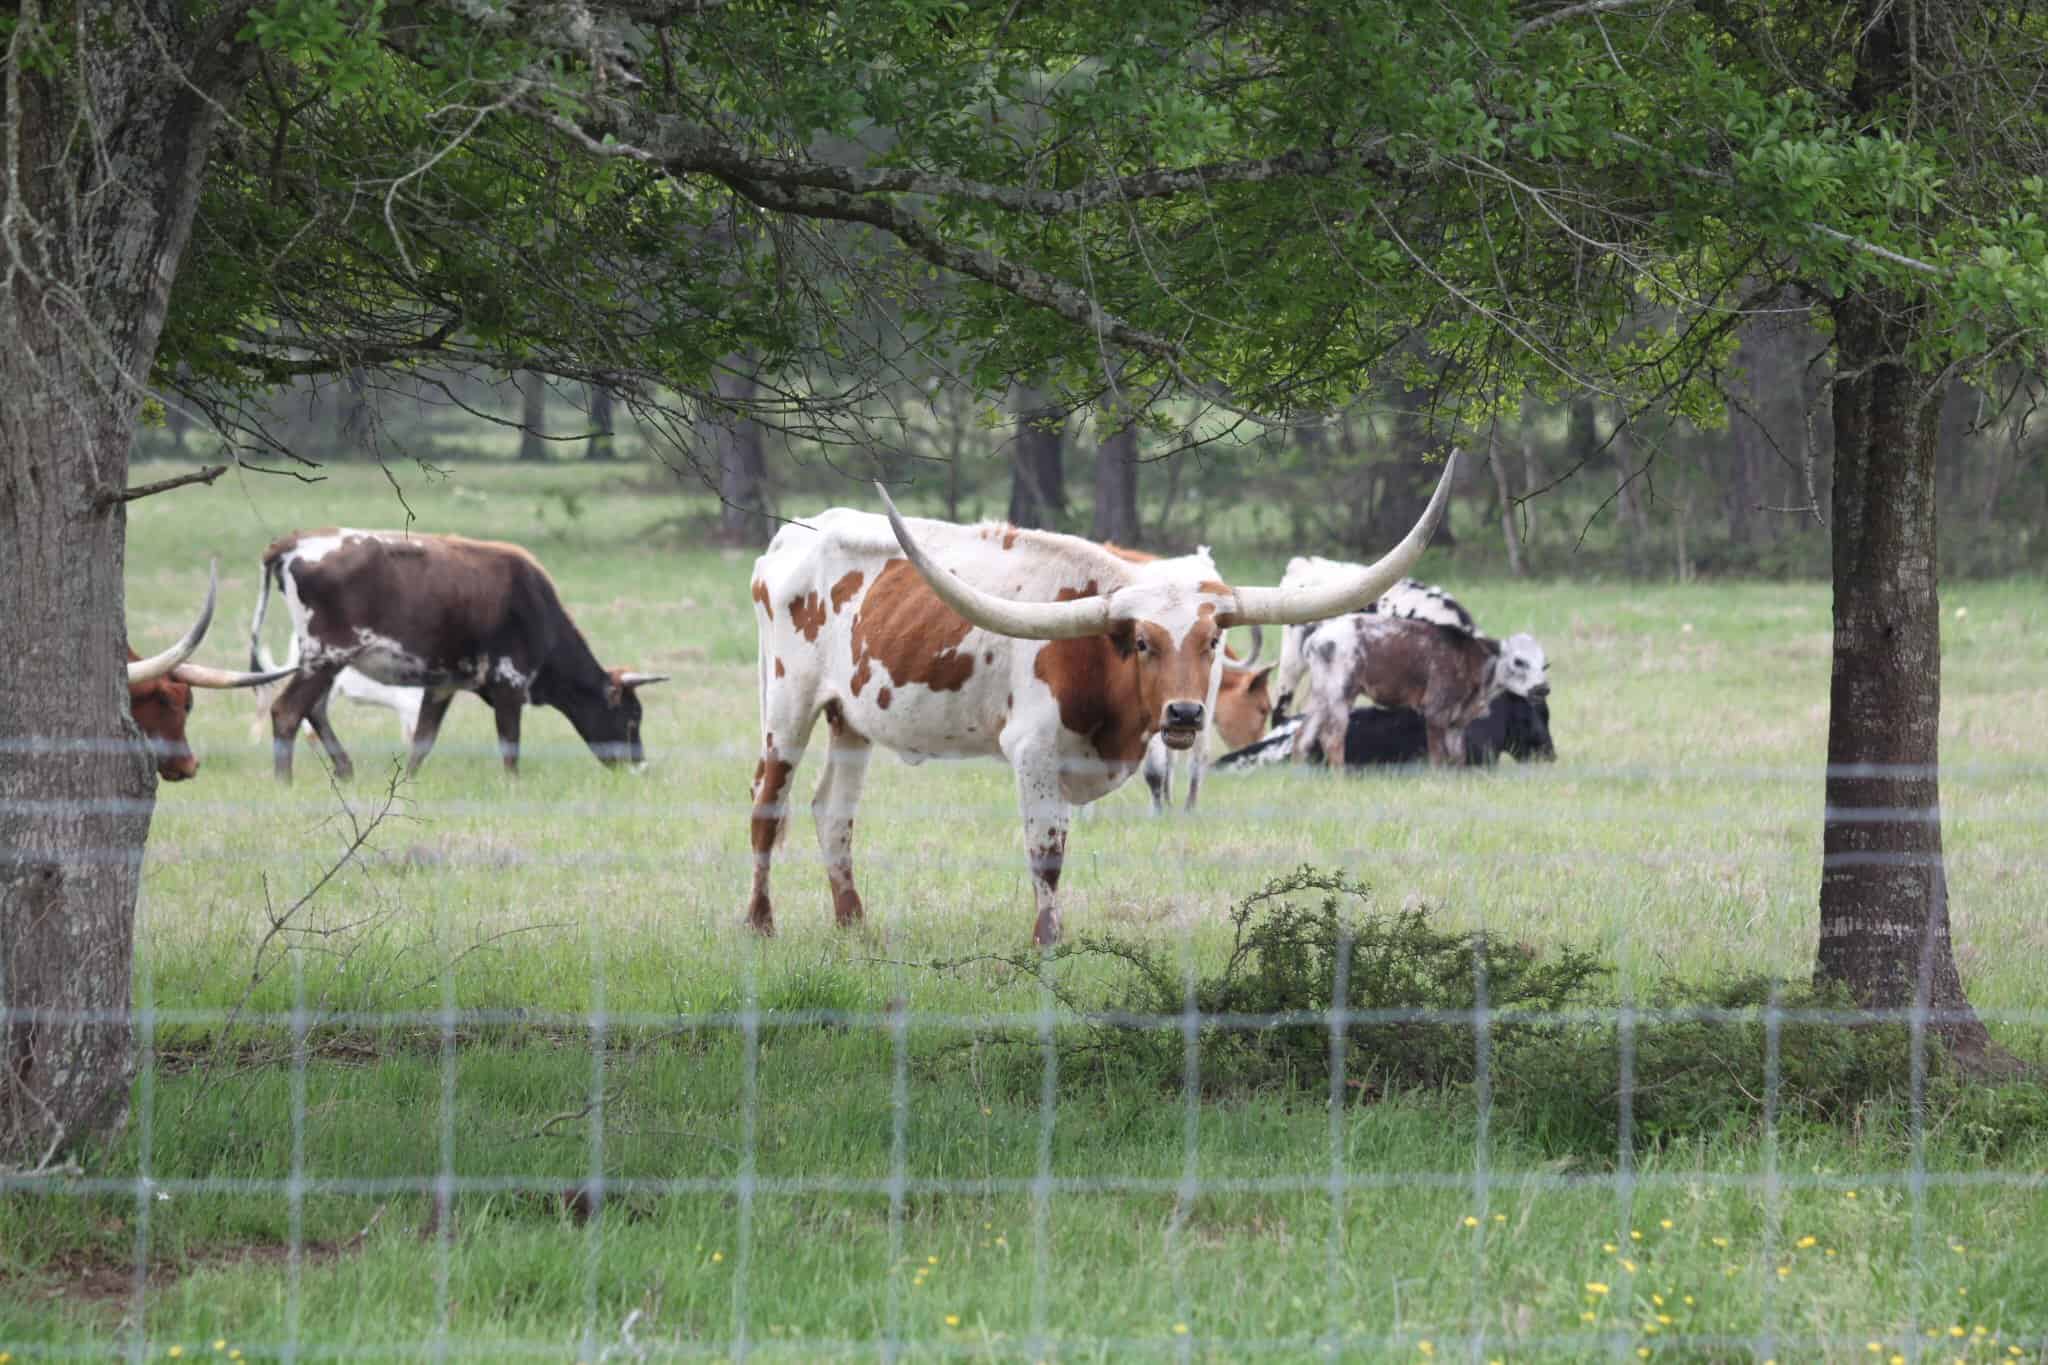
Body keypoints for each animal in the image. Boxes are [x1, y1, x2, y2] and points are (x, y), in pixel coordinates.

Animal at [250, 529, 667, 782]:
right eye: (632, 717)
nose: (640, 767)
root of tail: (294, 544)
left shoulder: (442, 686)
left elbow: (422, 742)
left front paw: (408, 783)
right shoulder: (509, 684)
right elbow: (510, 746)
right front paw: (512, 786)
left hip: (324, 659)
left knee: (315, 710)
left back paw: (345, 768)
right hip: (326, 655)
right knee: (288, 711)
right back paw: (285, 781)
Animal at [744, 456, 1456, 946]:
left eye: (1210, 640)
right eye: (1141, 641)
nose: (1185, 715)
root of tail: (795, 536)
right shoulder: (1032, 751)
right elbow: (1047, 852)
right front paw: (1046, 943)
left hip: (850, 717)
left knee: (833, 813)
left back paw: (852, 924)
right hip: (787, 703)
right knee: (768, 808)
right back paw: (760, 923)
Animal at [1298, 616, 1550, 767]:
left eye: (1545, 665)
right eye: (1518, 661)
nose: (1542, 687)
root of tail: (1317, 637)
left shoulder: (1457, 722)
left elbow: (1457, 757)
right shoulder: (1435, 710)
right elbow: (1439, 758)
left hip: (1321, 695)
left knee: (1303, 737)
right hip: (1340, 693)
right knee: (1332, 738)